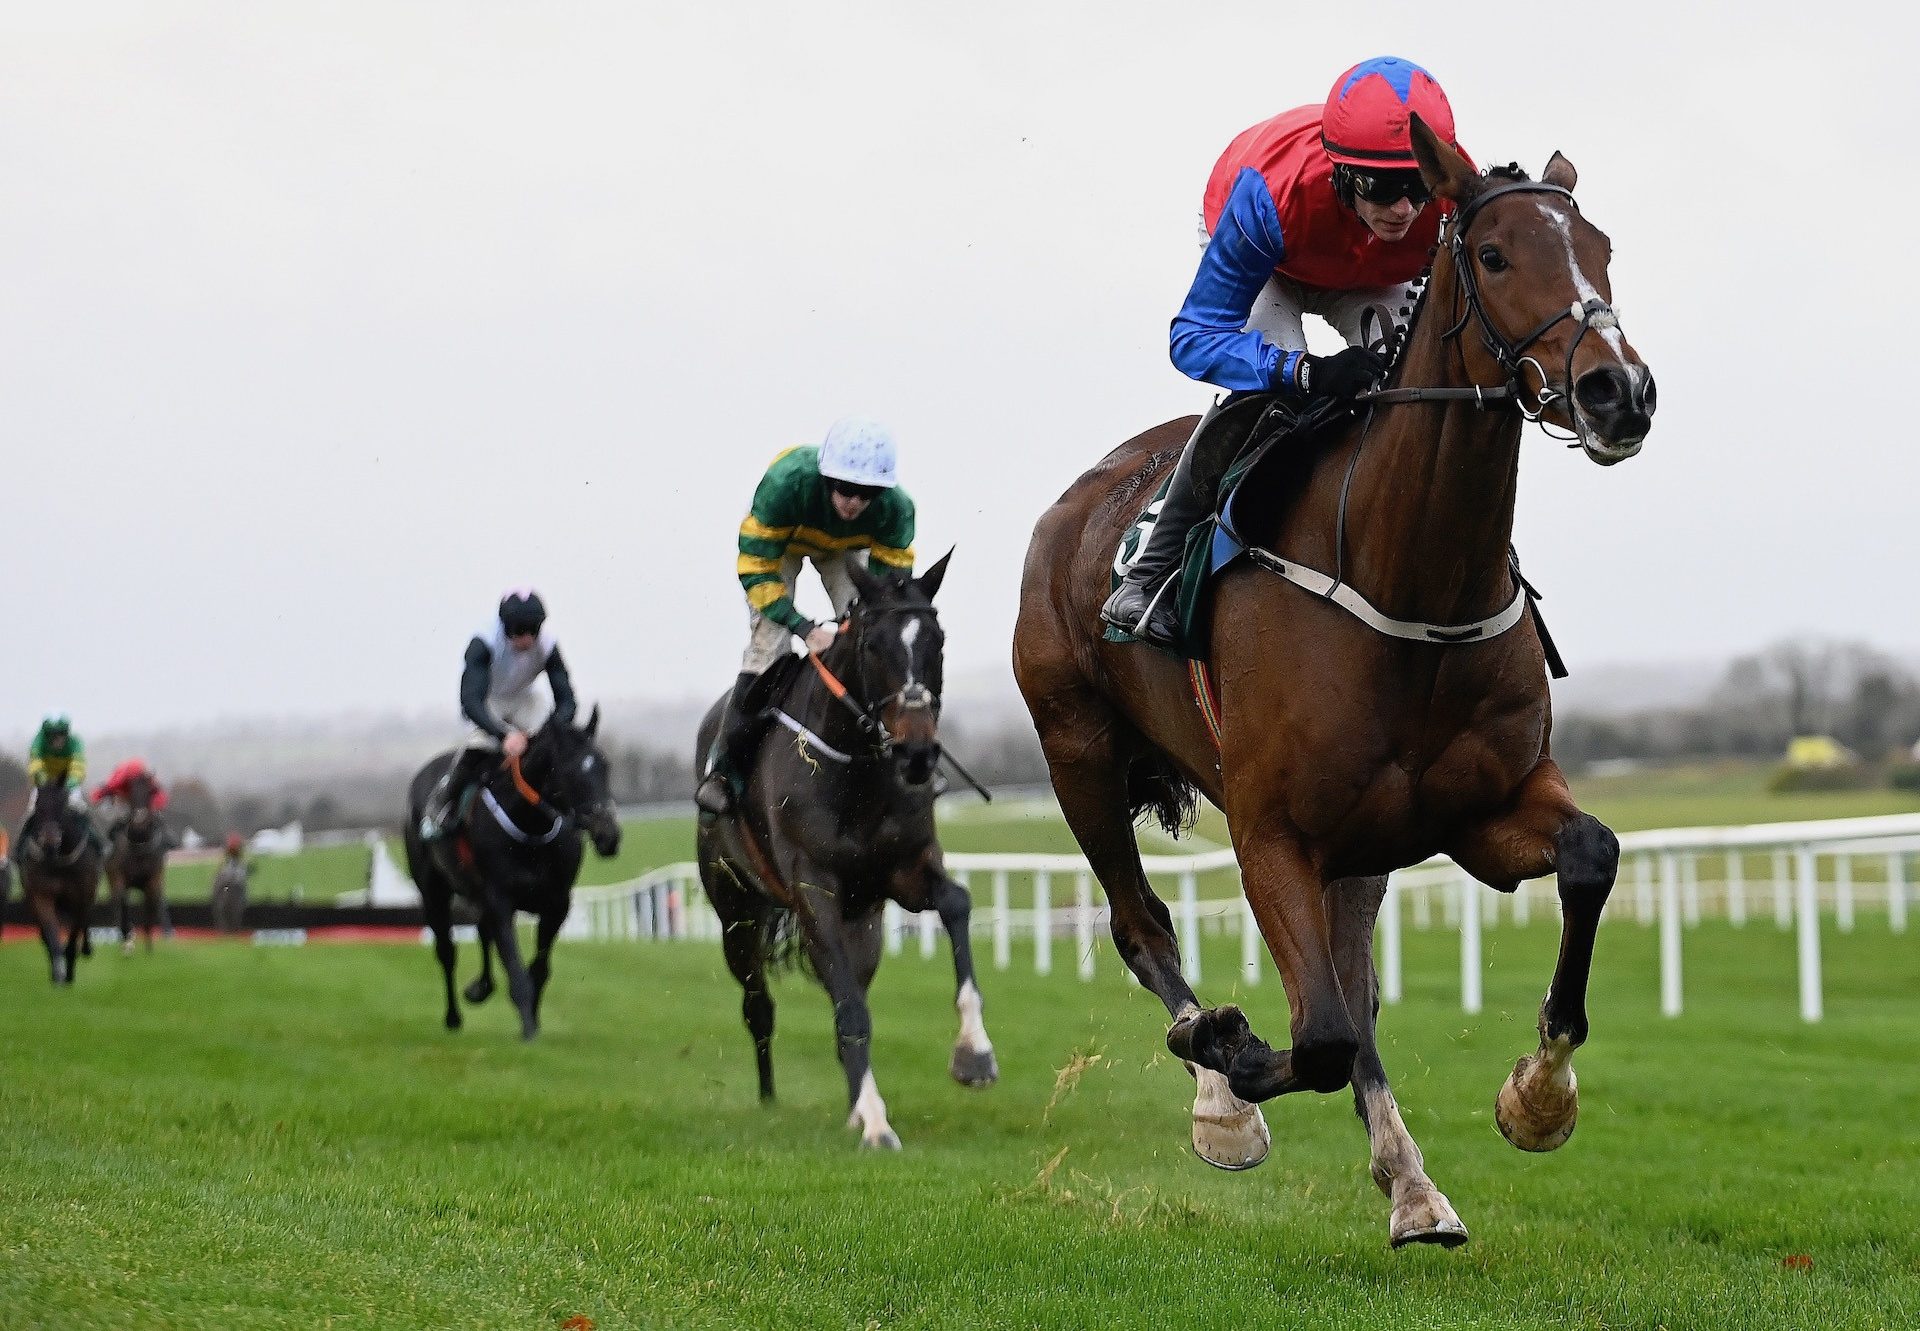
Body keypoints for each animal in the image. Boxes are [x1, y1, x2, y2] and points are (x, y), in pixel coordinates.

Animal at [16, 783, 103, 979]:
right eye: (38, 807)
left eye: (62, 808)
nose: (49, 842)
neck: (58, 860)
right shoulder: (42, 894)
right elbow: (51, 933)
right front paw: (57, 973)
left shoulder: (81, 895)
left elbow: (74, 932)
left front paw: (69, 969)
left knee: (84, 920)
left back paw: (86, 949)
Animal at [105, 768, 170, 956]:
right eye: (131, 791)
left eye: (151, 791)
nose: (139, 822)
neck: (139, 844)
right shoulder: (120, 878)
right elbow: (122, 903)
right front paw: (127, 941)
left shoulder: (153, 880)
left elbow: (151, 907)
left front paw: (149, 948)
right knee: (119, 906)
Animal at [401, 706, 618, 1037]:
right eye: (570, 771)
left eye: (604, 766)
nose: (610, 836)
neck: (531, 828)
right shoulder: (501, 899)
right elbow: (514, 965)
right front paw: (527, 1026)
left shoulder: (557, 903)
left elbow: (539, 968)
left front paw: (534, 1018)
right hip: (433, 889)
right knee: (447, 951)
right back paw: (453, 1017)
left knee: (482, 932)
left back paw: (480, 988)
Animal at [702, 556, 1006, 1144]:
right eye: (873, 645)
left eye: (937, 640)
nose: (917, 752)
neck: (855, 770)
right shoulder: (812, 887)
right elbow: (849, 1010)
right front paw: (875, 1123)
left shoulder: (904, 870)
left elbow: (956, 903)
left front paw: (974, 1054)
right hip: (736, 913)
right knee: (759, 1005)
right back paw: (771, 1097)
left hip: (862, 920)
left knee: (851, 985)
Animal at [1013, 116, 1658, 1244]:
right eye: (1497, 256)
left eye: (1603, 249)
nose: (1618, 390)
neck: (1411, 579)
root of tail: (1074, 503)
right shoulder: (1270, 831)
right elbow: (1311, 1036)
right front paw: (1224, 1058)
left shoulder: (1480, 809)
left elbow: (1590, 854)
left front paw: (1538, 1095)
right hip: (1077, 753)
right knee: (1144, 926)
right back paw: (1220, 1093)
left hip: (1361, 848)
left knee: (1354, 992)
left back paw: (1412, 1182)